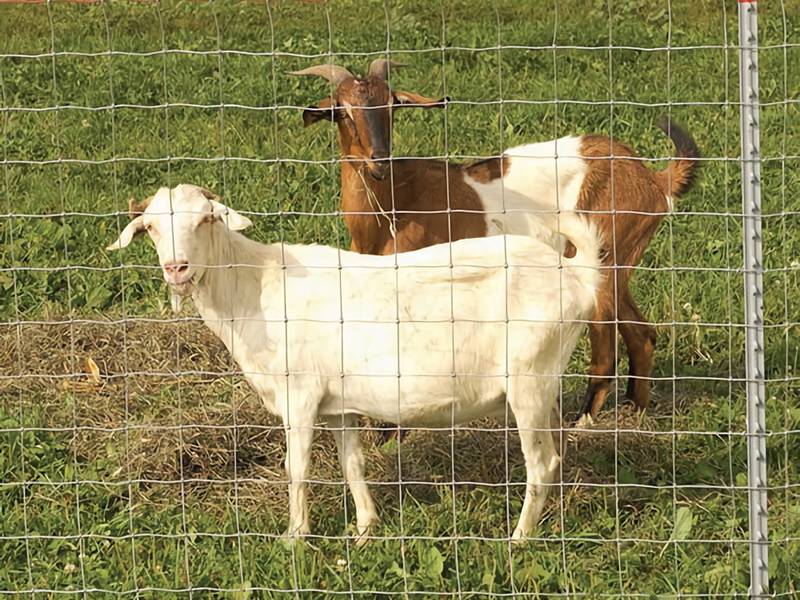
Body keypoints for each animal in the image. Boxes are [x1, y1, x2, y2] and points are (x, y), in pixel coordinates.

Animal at [106, 183, 602, 542]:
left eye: (206, 219)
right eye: (151, 228)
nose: (177, 268)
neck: (255, 286)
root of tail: (576, 274)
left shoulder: (300, 394)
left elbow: (297, 467)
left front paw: (295, 537)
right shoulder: (338, 403)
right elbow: (352, 463)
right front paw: (365, 529)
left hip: (528, 380)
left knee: (542, 463)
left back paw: (519, 540)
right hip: (543, 384)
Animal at [293, 60, 700, 423]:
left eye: (392, 105)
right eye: (342, 111)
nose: (378, 160)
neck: (392, 208)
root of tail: (652, 179)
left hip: (603, 258)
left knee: (605, 350)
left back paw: (582, 423)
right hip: (620, 261)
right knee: (642, 334)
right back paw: (636, 412)